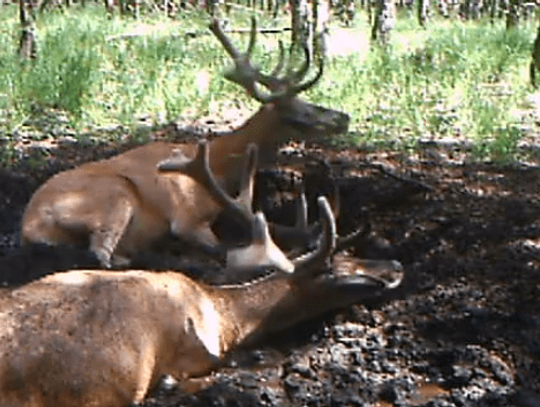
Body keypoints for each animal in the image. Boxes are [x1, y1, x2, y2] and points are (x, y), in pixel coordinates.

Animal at [21, 17, 350, 270]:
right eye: (301, 113)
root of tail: (29, 225)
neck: (218, 164)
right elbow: (220, 247)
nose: (343, 117)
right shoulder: (187, 218)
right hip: (115, 194)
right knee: (100, 254)